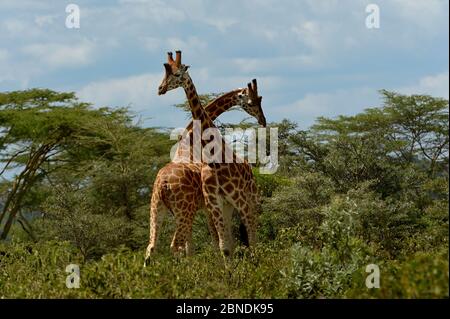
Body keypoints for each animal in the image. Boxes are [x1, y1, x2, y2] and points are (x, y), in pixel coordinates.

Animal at [146, 51, 260, 262]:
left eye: (175, 74)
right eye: (252, 102)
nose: (160, 89)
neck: (190, 142)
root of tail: (163, 183)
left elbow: (196, 247)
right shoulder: (207, 206)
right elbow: (215, 242)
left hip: (158, 208)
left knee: (152, 247)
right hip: (184, 210)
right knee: (176, 245)